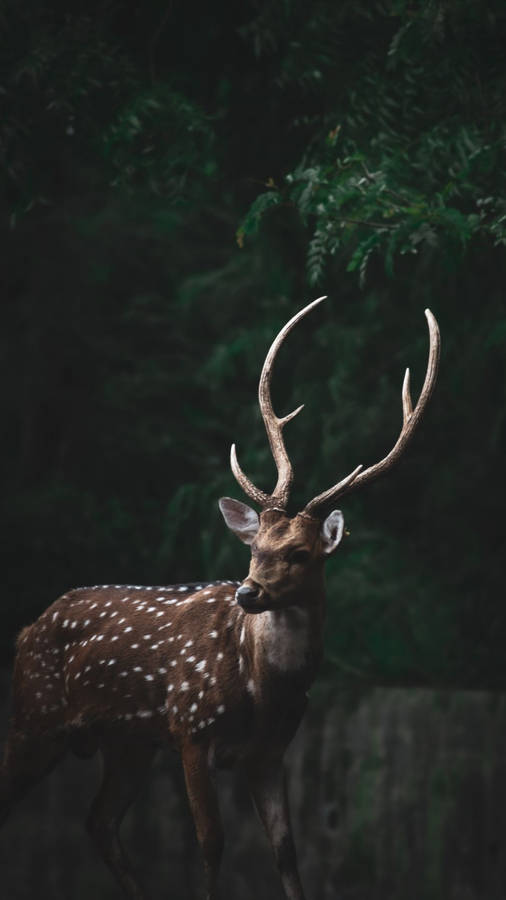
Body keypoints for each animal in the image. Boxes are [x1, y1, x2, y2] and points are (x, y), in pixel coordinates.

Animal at [1, 296, 440, 900]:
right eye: (254, 546)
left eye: (300, 553)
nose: (248, 592)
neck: (263, 688)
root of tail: (28, 628)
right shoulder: (191, 727)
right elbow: (211, 844)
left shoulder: (271, 752)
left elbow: (287, 853)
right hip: (35, 713)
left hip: (126, 741)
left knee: (99, 821)